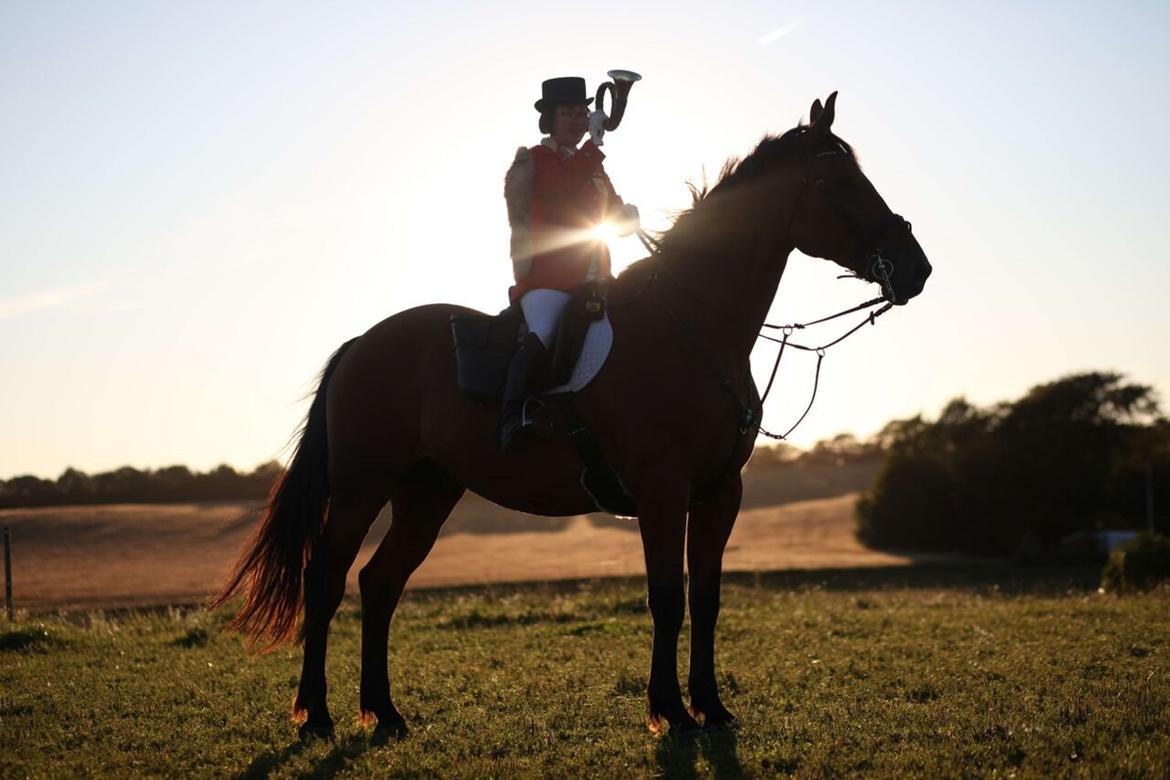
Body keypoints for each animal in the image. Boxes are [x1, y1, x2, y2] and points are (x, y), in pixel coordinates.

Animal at [214, 92, 932, 740]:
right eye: (840, 180)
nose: (917, 269)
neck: (693, 326)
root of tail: (363, 342)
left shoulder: (720, 493)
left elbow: (705, 599)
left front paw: (711, 707)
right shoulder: (662, 491)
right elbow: (667, 598)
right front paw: (670, 712)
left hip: (428, 491)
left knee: (380, 582)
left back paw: (385, 714)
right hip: (362, 486)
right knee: (326, 579)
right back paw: (317, 715)